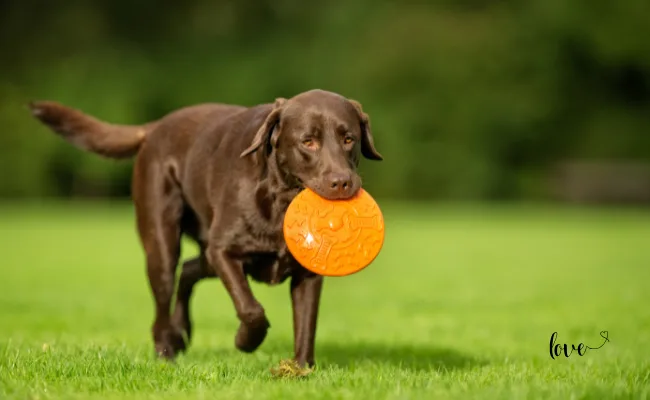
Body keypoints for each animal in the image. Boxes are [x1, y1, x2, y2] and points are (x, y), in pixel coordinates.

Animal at [27, 89, 380, 368]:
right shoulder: (224, 251)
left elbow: (307, 324)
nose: (342, 182)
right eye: (308, 141)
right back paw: (167, 351)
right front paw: (245, 341)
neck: (280, 199)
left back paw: (181, 332)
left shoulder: (307, 274)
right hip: (163, 243)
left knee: (188, 270)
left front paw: (302, 370)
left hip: (203, 252)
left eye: (348, 138)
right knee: (165, 296)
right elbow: (250, 309)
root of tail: (156, 127)